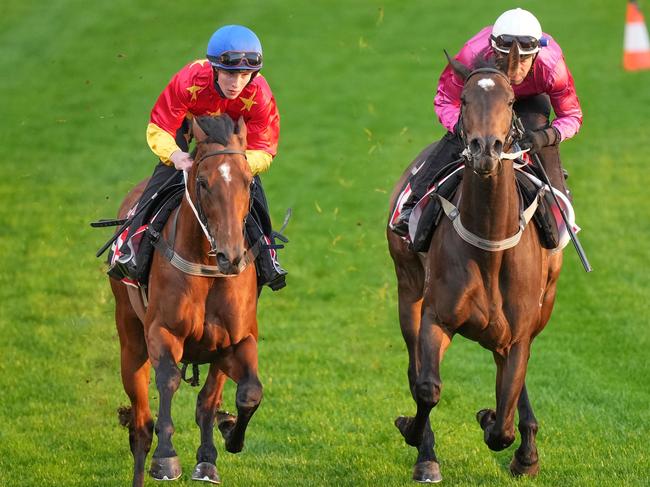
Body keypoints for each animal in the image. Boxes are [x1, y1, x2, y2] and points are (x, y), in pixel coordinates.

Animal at [110, 115, 260, 487]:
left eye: (249, 182)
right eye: (203, 183)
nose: (231, 256)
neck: (208, 268)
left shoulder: (237, 340)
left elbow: (246, 393)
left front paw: (224, 436)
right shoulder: (162, 332)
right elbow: (168, 380)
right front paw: (166, 458)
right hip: (130, 338)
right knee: (141, 426)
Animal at [384, 47, 560, 482]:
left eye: (510, 102)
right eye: (464, 100)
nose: (485, 148)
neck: (490, 248)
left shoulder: (518, 332)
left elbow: (503, 425)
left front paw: (495, 422)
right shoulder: (436, 318)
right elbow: (427, 388)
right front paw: (418, 441)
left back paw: (526, 451)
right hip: (408, 289)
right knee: (416, 371)